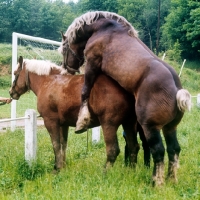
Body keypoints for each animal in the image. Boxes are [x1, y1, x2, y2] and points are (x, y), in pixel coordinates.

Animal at [9, 55, 150, 172]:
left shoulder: (50, 121)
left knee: (113, 150)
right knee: (133, 147)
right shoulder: (63, 124)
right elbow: (63, 145)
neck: (49, 82)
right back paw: (130, 172)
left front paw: (57, 168)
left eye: (15, 73)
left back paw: (105, 173)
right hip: (129, 123)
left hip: (109, 124)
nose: (11, 92)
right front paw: (62, 167)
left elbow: (55, 144)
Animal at [59, 10, 191, 186]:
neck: (102, 29)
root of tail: (177, 90)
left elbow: (85, 91)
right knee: (173, 149)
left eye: (64, 49)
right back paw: (171, 179)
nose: (66, 69)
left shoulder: (92, 63)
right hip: (170, 128)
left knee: (158, 151)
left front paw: (82, 120)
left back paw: (157, 183)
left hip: (150, 127)